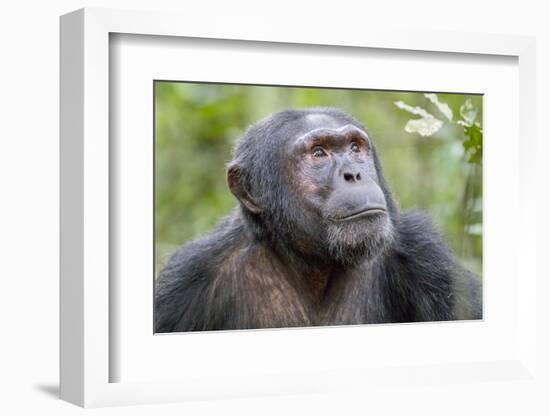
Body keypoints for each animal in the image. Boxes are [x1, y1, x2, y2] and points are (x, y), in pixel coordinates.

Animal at [154, 109, 484, 334]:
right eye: (318, 153)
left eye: (354, 148)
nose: (354, 173)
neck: (315, 262)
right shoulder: (184, 281)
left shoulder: (427, 256)